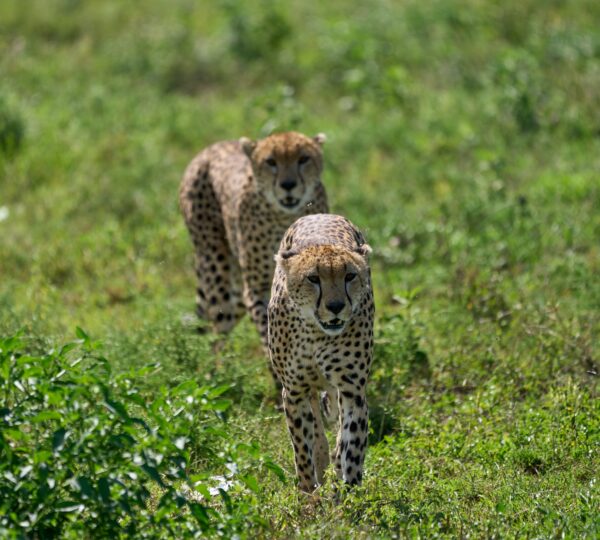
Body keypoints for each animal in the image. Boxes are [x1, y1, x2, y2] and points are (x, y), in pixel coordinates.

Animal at [179, 131, 328, 362]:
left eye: (303, 159)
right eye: (271, 161)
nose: (288, 184)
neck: (283, 216)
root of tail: (209, 149)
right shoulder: (258, 289)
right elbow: (271, 334)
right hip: (216, 269)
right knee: (217, 327)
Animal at [268, 213, 376, 492]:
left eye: (350, 276)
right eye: (313, 278)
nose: (336, 306)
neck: (316, 333)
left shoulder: (352, 391)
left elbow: (352, 447)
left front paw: (349, 494)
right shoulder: (294, 391)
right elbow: (302, 449)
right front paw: (308, 493)